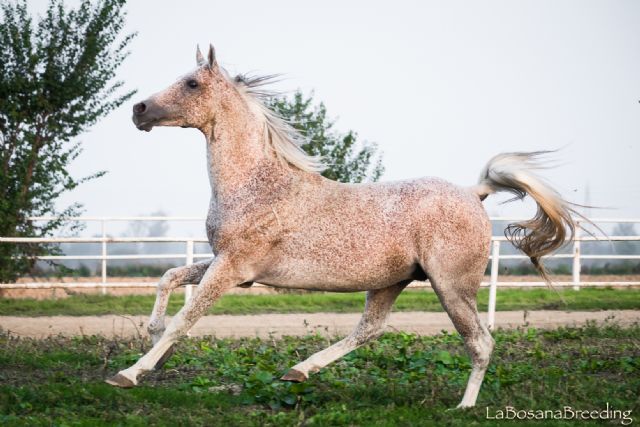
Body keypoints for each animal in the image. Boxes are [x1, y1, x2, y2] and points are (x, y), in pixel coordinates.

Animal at [109, 45, 580, 410]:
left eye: (191, 83)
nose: (138, 110)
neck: (258, 184)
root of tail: (473, 192)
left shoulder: (231, 268)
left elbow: (185, 317)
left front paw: (131, 373)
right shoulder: (226, 265)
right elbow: (168, 279)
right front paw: (154, 345)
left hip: (452, 285)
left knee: (480, 342)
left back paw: (463, 406)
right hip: (392, 281)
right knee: (369, 329)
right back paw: (299, 371)